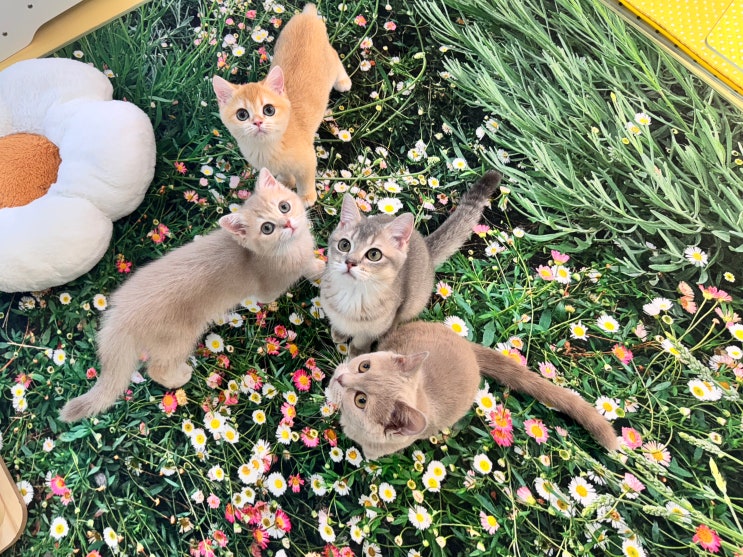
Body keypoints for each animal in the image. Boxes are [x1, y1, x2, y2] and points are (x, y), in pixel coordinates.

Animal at [60, 168, 324, 422]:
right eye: (267, 228)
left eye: (284, 206)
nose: (288, 223)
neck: (292, 248)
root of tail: (120, 314)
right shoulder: (269, 289)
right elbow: (296, 276)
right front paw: (319, 270)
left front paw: (320, 264)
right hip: (178, 339)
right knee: (157, 369)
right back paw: (180, 377)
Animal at [212, 4, 351, 207]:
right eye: (242, 114)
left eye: (268, 110)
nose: (258, 122)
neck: (268, 148)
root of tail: (307, 16)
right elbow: (286, 173)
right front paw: (286, 182)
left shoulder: (308, 159)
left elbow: (306, 178)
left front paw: (306, 197)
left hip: (330, 59)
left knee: (336, 60)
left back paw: (343, 81)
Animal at [320, 170, 501, 356]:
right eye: (344, 245)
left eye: (374, 254)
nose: (350, 262)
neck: (352, 295)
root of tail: (425, 245)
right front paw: (339, 332)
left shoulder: (376, 326)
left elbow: (361, 340)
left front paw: (356, 353)